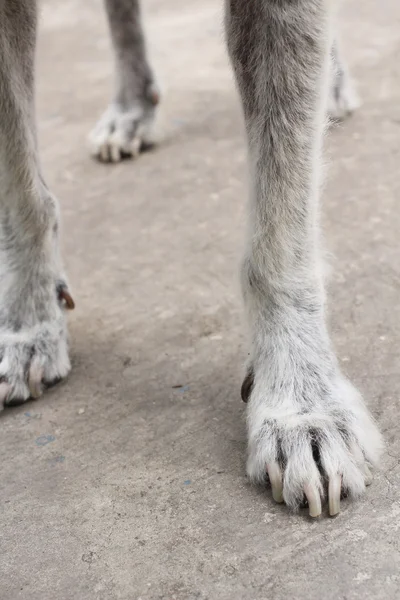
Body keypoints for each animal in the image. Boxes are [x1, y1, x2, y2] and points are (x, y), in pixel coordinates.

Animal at [0, 0, 382, 520]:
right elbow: (19, 186)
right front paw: (29, 321)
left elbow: (281, 228)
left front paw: (302, 405)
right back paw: (131, 107)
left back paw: (336, 84)